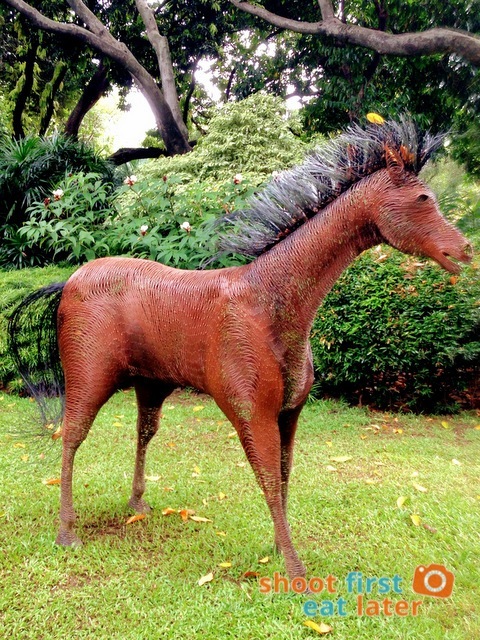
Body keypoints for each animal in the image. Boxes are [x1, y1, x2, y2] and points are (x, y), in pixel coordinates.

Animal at [8, 118, 471, 580]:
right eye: (422, 198)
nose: (464, 249)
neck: (269, 302)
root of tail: (68, 281)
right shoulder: (251, 412)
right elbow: (267, 478)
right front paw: (293, 567)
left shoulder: (288, 412)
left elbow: (283, 475)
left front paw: (278, 546)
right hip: (90, 378)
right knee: (70, 436)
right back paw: (67, 532)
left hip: (150, 384)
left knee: (142, 433)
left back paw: (137, 503)